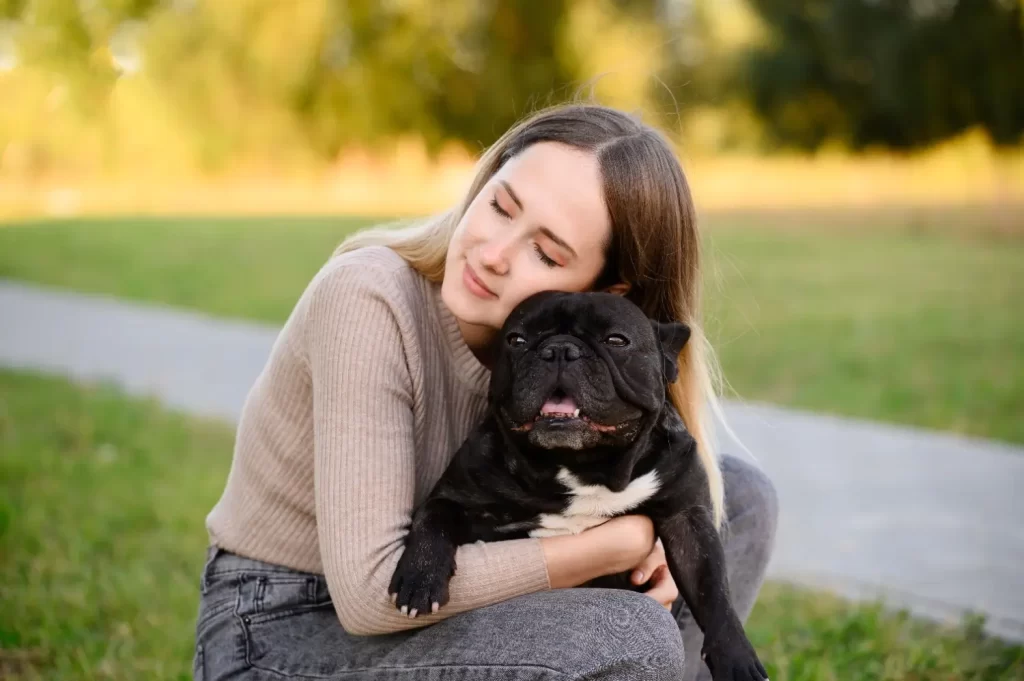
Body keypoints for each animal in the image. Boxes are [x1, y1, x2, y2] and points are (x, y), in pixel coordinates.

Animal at [387, 288, 765, 675]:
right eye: (516, 340)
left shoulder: (687, 518)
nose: (559, 350)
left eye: (616, 340)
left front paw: (736, 656)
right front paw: (420, 579)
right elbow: (434, 518)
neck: (582, 466)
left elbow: (712, 588)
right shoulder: (457, 494)